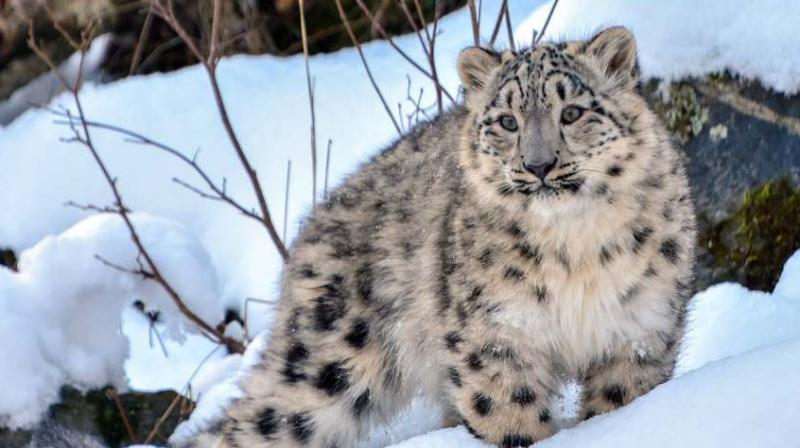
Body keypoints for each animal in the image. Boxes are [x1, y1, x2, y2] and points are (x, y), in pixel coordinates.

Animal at [178, 26, 692, 446]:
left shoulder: (639, 331)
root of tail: (312, 223)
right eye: (507, 121)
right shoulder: (494, 337)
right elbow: (510, 417)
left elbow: (621, 402)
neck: (574, 249)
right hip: (325, 364)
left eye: (572, 112)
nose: (539, 165)